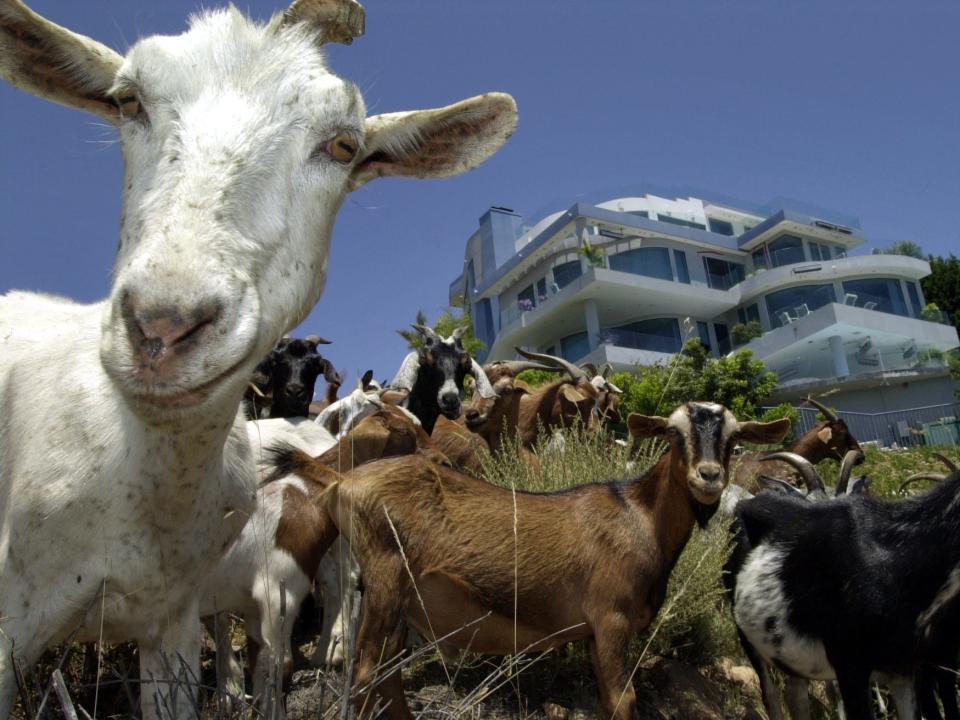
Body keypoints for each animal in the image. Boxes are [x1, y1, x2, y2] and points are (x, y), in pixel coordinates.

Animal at [278, 402, 788, 716]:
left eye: (734, 439)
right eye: (674, 434)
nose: (709, 477)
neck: (638, 515)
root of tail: (341, 482)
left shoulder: (592, 633)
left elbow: (608, 700)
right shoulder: (611, 619)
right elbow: (623, 701)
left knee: (385, 676)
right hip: (386, 578)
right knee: (367, 675)